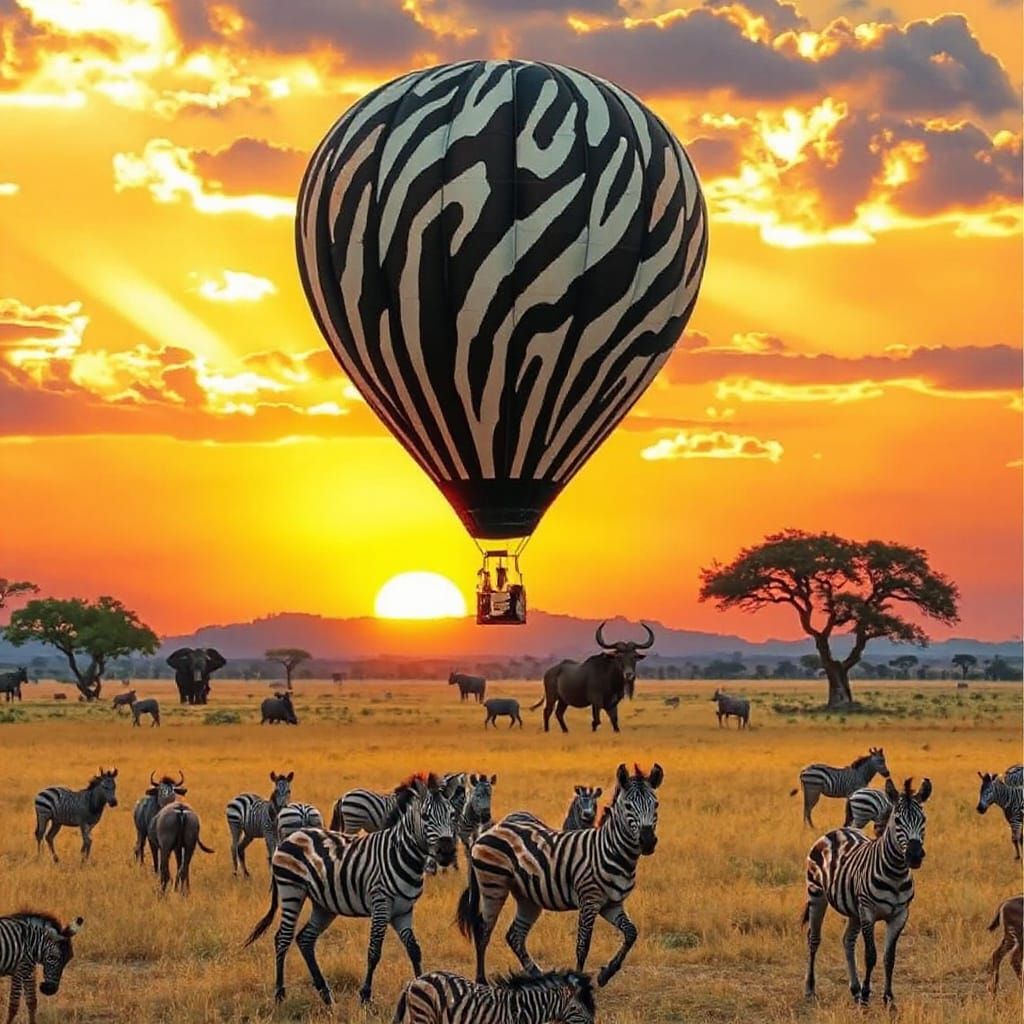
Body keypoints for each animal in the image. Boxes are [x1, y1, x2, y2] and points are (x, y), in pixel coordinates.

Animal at [245, 772, 460, 1006]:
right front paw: (365, 996)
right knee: (282, 938)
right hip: (291, 890)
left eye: (452, 815)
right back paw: (279, 994)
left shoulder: (403, 910)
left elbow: (414, 950)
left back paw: (325, 994)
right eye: (425, 816)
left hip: (323, 905)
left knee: (305, 939)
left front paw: (421, 989)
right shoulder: (381, 904)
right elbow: (374, 951)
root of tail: (293, 836)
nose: (447, 851)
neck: (401, 854)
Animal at [457, 762, 663, 986]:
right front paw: (581, 981)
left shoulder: (612, 904)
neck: (612, 850)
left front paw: (606, 973)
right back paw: (481, 979)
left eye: (656, 805)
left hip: (527, 897)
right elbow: (583, 945)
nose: (648, 841)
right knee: (483, 930)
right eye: (628, 806)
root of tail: (491, 829)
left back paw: (538, 974)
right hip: (493, 886)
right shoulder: (589, 900)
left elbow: (631, 933)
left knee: (515, 935)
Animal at [803, 777, 932, 1007]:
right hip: (816, 894)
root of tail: (838, 830)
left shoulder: (900, 915)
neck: (896, 873)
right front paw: (865, 996)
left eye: (923, 819)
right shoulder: (868, 912)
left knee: (847, 941)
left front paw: (888, 998)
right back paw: (810, 989)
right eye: (897, 821)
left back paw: (854, 988)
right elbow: (871, 955)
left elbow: (890, 958)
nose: (915, 855)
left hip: (854, 909)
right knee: (813, 939)